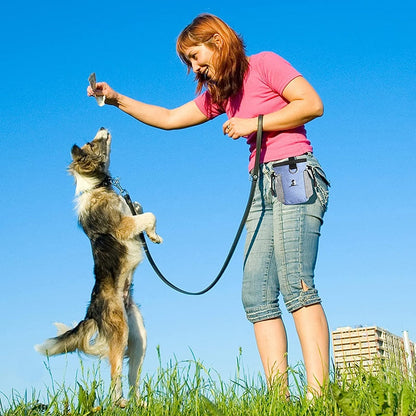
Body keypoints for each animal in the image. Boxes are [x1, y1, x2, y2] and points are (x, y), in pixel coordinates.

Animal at [35, 127, 162, 406]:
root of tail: (91, 312)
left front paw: (153, 236)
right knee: (115, 371)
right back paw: (120, 402)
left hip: (139, 337)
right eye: (92, 143)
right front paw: (153, 233)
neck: (96, 187)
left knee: (132, 375)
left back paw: (139, 403)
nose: (104, 126)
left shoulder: (131, 212)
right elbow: (149, 215)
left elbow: (141, 209)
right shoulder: (123, 226)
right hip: (120, 331)